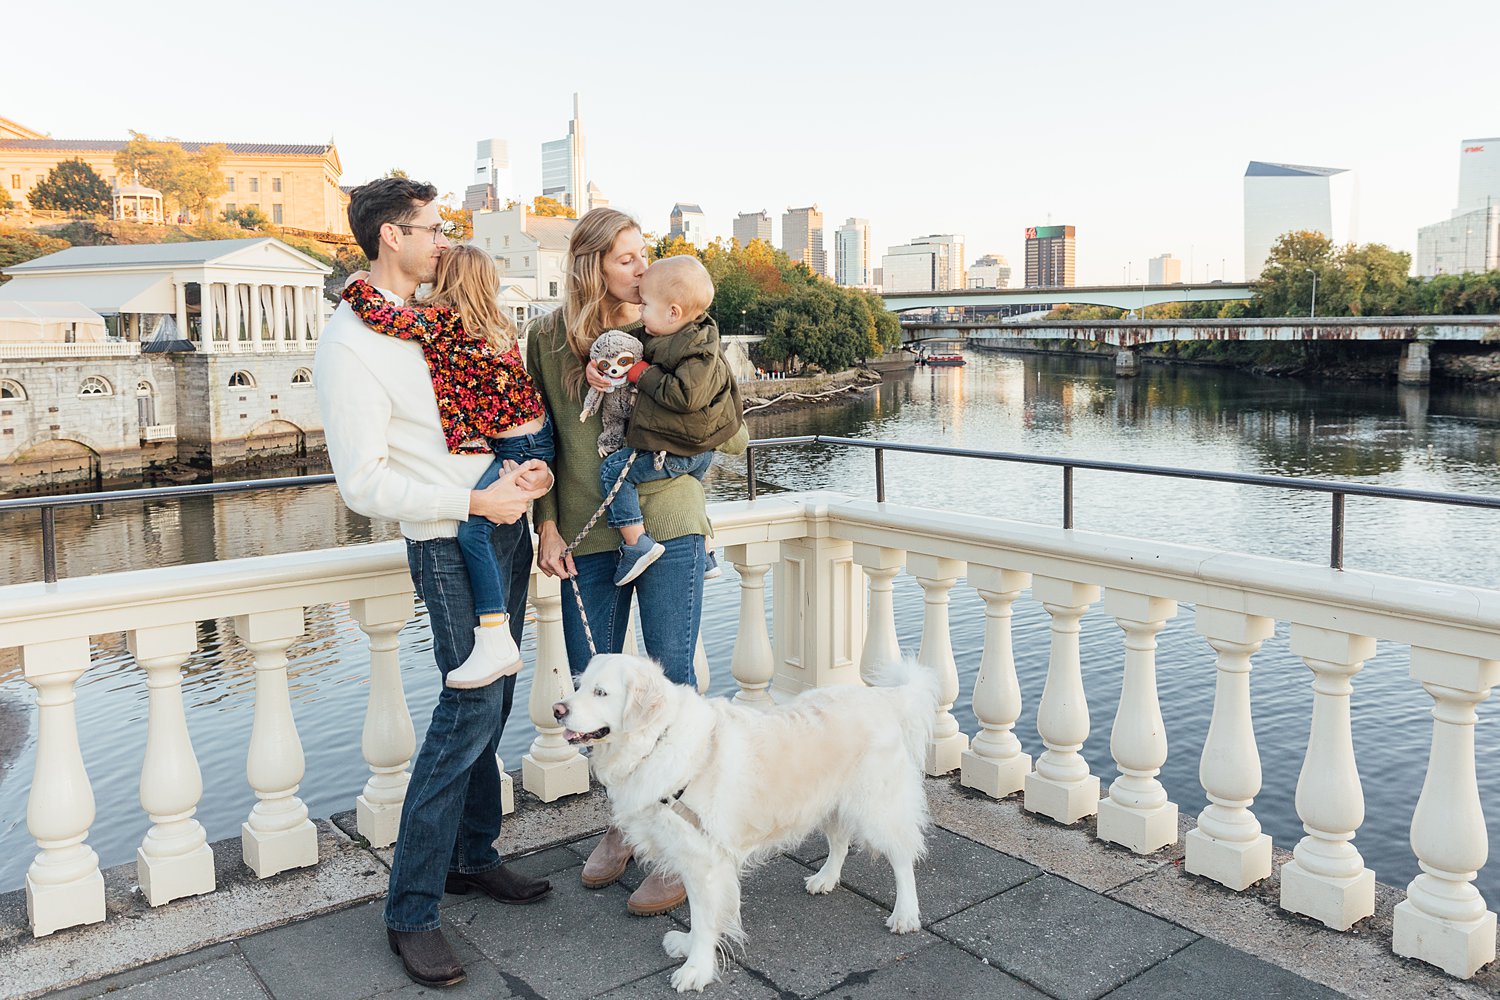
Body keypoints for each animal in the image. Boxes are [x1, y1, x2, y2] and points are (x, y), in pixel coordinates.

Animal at [558, 653, 942, 989]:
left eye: (601, 692)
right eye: (579, 685)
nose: (557, 710)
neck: (656, 741)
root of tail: (883, 697)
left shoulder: (704, 861)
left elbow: (704, 917)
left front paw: (696, 970)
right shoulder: (692, 858)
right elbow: (702, 915)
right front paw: (689, 946)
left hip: (877, 808)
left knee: (902, 857)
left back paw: (905, 914)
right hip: (827, 802)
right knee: (840, 842)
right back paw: (825, 879)